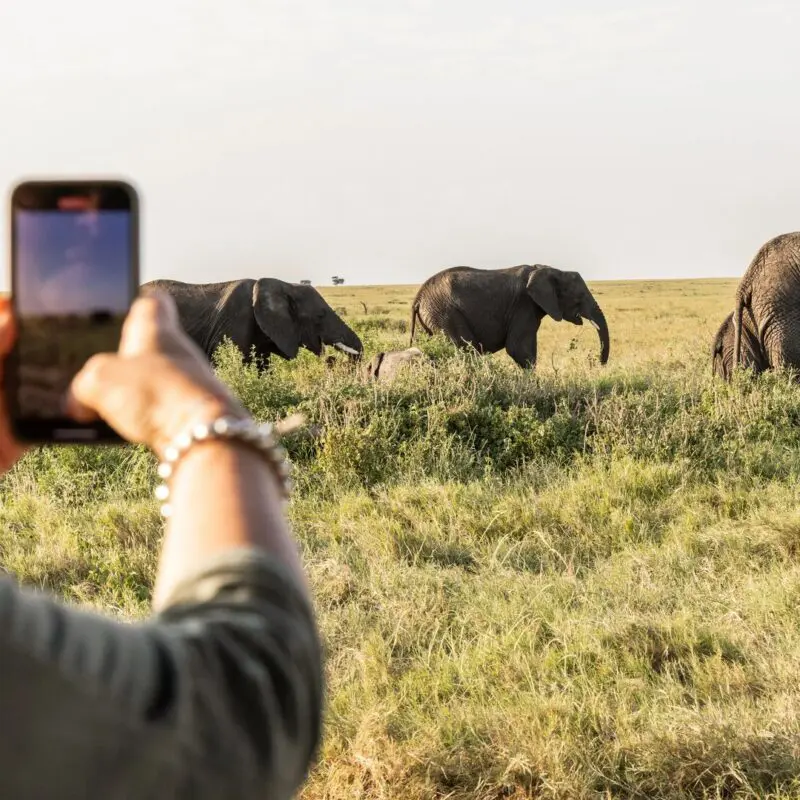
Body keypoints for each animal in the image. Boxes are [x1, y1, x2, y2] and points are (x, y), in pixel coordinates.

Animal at [409, 264, 609, 368]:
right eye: (580, 296)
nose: (599, 364)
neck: (549, 269)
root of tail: (418, 298)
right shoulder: (524, 305)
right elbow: (518, 349)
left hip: (430, 317)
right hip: (444, 313)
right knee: (465, 350)